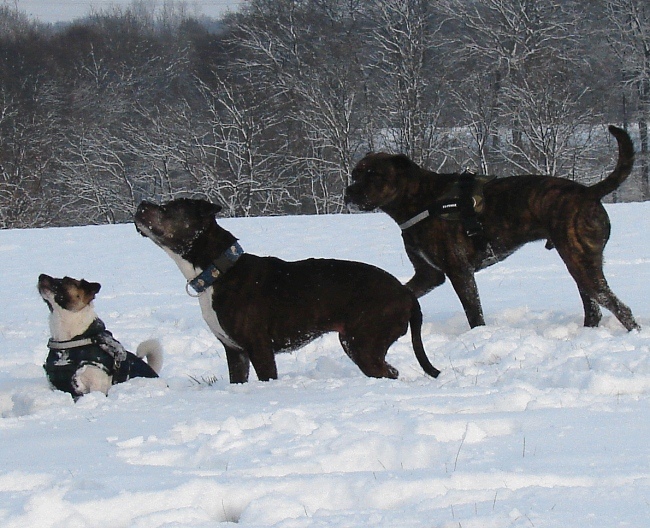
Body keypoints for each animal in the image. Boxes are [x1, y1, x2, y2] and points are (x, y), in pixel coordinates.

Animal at [134, 198, 438, 384]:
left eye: (170, 208)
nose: (142, 204)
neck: (220, 270)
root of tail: (405, 294)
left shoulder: (259, 348)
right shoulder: (235, 352)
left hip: (362, 342)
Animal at [344, 125, 636, 330]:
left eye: (374, 175)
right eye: (355, 174)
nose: (349, 191)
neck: (420, 200)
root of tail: (588, 192)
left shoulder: (459, 272)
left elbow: (474, 314)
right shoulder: (429, 274)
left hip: (581, 262)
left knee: (620, 308)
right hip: (578, 267)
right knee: (594, 308)